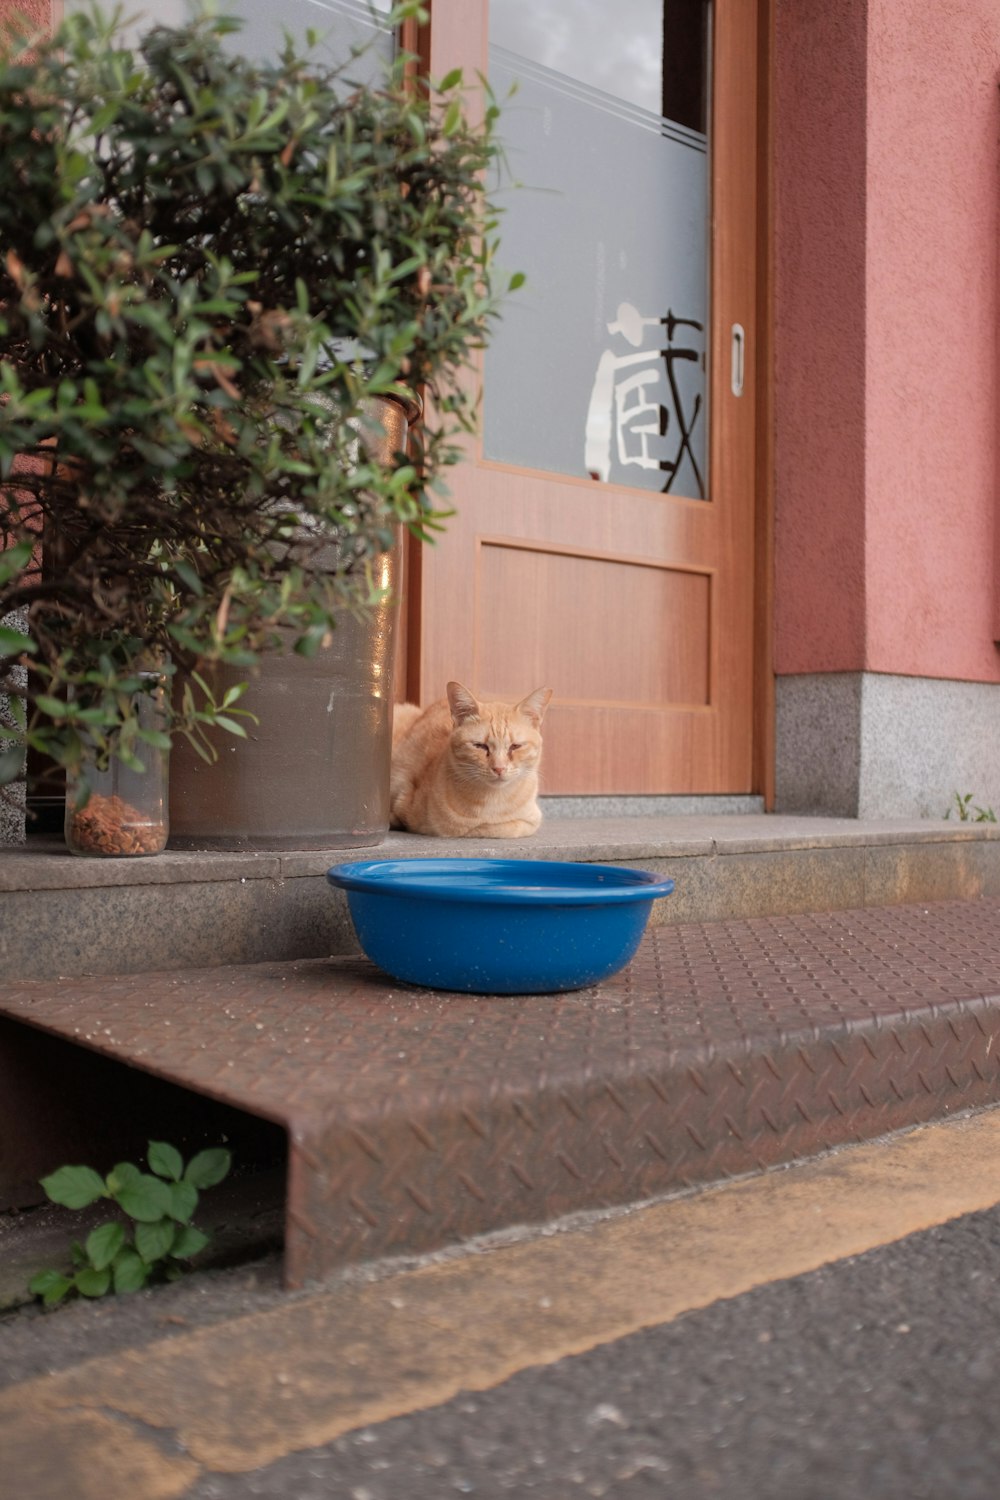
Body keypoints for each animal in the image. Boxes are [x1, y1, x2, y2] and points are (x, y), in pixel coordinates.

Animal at [389, 684, 554, 840]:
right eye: (480, 746)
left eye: (515, 746)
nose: (499, 768)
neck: (493, 800)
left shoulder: (530, 820)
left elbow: (505, 827)